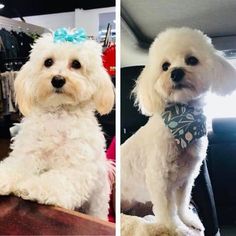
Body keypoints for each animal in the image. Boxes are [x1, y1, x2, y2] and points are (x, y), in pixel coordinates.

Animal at [0, 28, 114, 220]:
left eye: (76, 64)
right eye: (48, 62)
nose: (58, 79)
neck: (59, 113)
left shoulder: (77, 167)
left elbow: (57, 180)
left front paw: (32, 187)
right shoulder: (28, 153)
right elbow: (16, 166)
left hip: (97, 204)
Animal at [121, 27, 236, 234]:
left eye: (192, 60)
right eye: (165, 66)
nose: (175, 73)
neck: (183, 122)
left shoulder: (187, 178)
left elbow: (181, 204)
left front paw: (188, 220)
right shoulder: (159, 180)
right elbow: (167, 211)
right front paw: (176, 228)